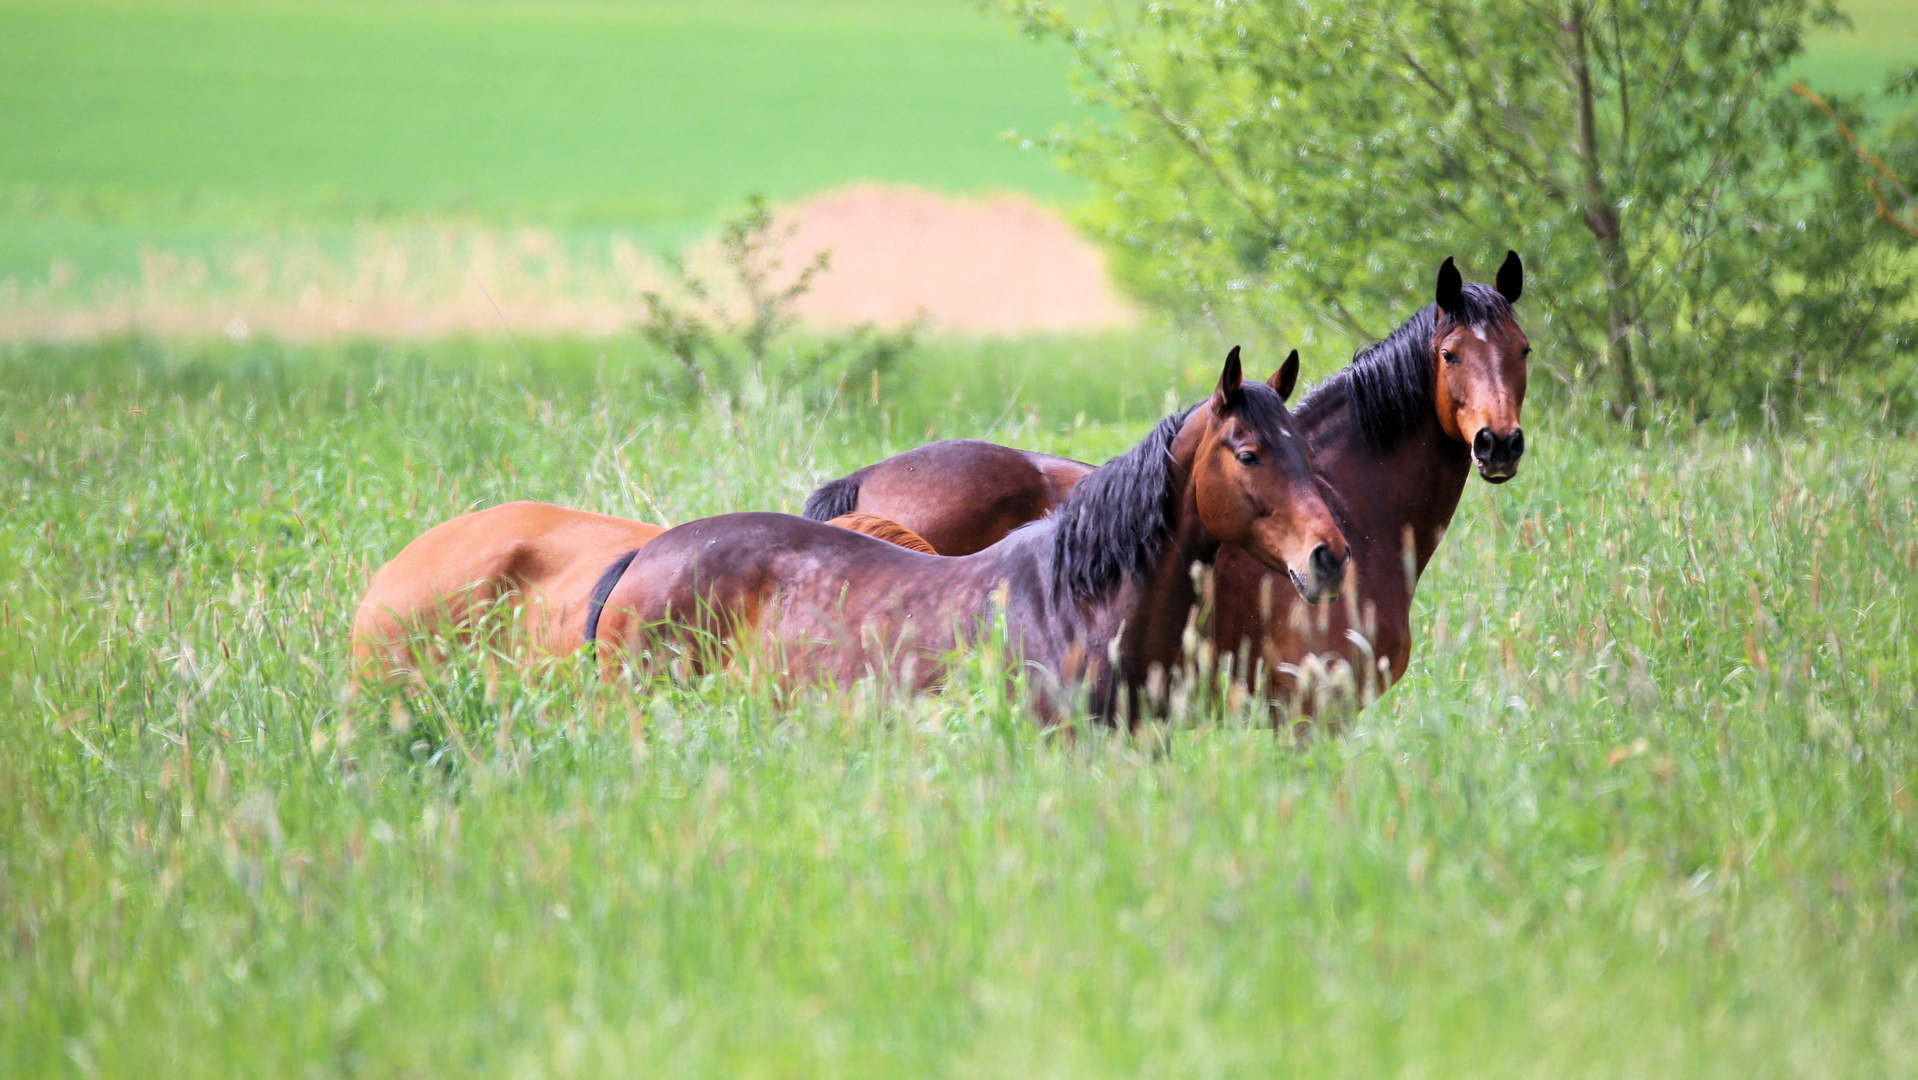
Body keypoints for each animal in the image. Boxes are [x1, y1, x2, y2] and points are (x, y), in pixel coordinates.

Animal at [801, 253, 1534, 725]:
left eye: (1523, 349)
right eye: (1450, 355)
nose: (1498, 443)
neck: (1360, 510)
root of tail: (864, 482)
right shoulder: (1308, 715)